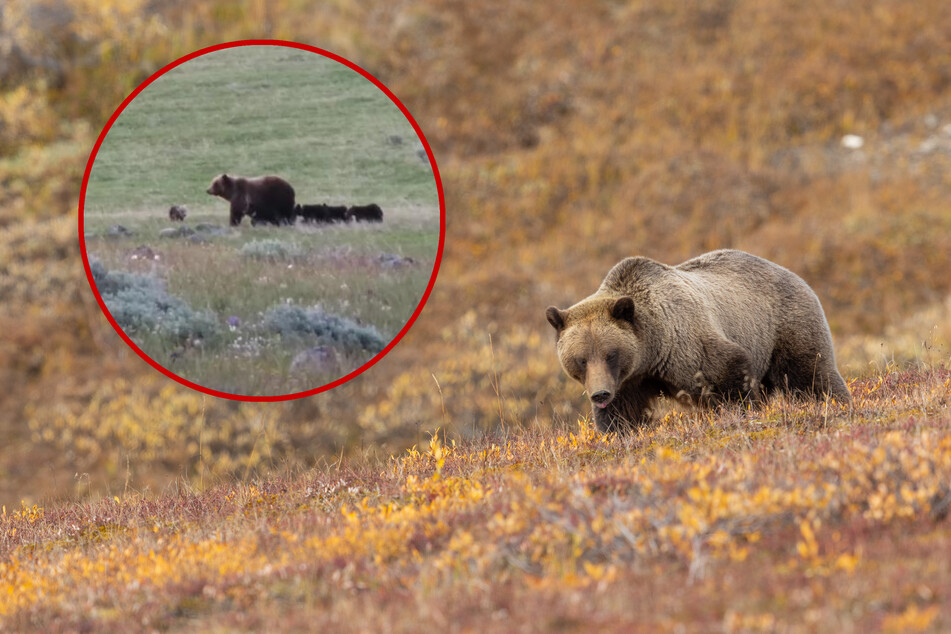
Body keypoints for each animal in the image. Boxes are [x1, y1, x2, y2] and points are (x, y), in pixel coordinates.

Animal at [546, 249, 850, 433]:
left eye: (610, 354)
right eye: (581, 359)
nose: (599, 394)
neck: (651, 352)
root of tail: (795, 275)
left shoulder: (687, 345)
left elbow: (729, 374)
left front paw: (739, 414)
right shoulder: (630, 380)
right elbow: (623, 414)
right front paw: (618, 431)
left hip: (783, 327)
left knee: (811, 375)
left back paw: (838, 404)